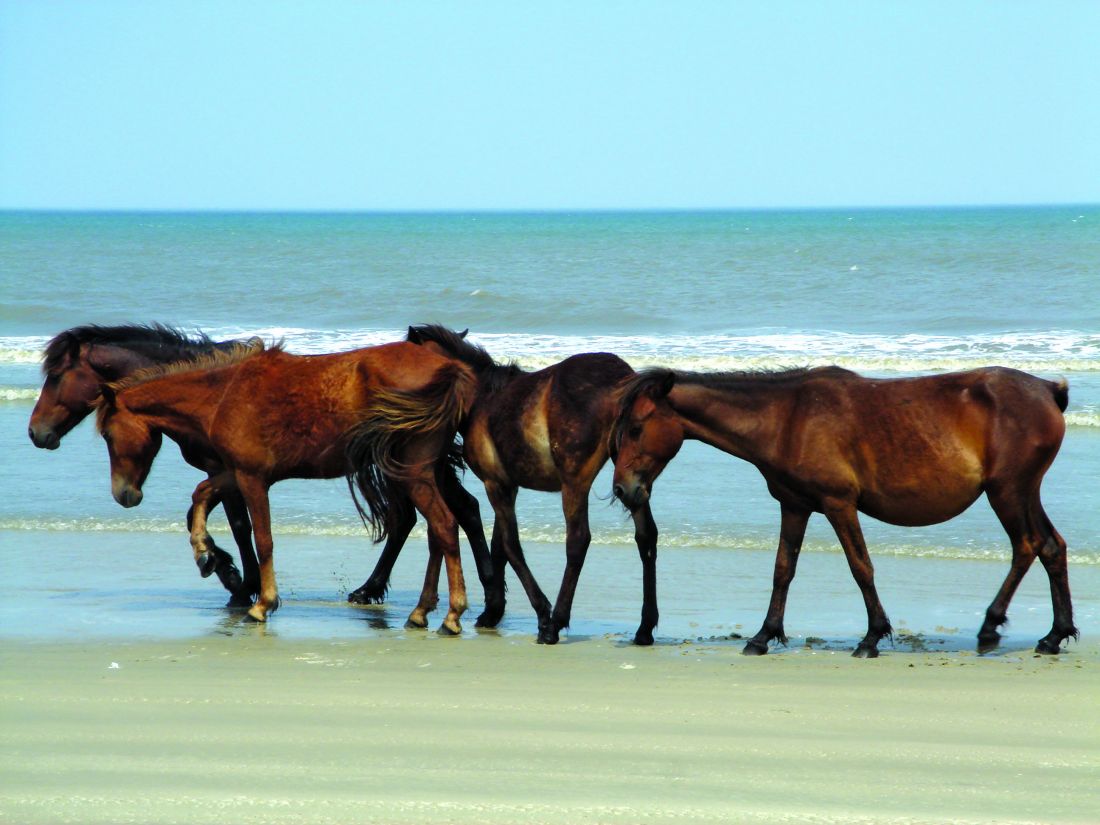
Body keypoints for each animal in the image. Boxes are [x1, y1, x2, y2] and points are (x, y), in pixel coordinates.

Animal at [29, 324, 263, 604]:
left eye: (55, 375)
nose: (34, 431)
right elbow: (198, 518)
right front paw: (224, 568)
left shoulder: (224, 470)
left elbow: (239, 526)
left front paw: (240, 585)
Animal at [94, 340, 482, 632]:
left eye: (108, 434)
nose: (124, 494)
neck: (224, 394)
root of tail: (452, 370)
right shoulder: (235, 473)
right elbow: (201, 494)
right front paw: (204, 552)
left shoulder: (252, 478)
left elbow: (263, 540)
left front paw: (262, 604)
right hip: (425, 474)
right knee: (437, 534)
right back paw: (422, 611)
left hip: (412, 474)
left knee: (445, 527)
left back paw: (452, 614)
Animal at [354, 324, 659, 645]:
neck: (481, 397)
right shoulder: (506, 483)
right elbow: (500, 544)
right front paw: (493, 610)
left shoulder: (496, 483)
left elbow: (510, 545)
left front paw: (534, 612)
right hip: (631, 475)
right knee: (646, 537)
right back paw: (644, 628)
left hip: (576, 483)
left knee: (578, 541)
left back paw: (554, 624)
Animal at [611, 365, 1076, 657]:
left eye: (636, 428)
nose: (622, 490)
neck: (787, 417)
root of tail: (1047, 391)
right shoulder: (795, 506)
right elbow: (783, 570)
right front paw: (763, 636)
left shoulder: (839, 504)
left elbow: (860, 567)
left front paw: (871, 637)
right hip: (1023, 492)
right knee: (1051, 548)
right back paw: (1054, 635)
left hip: (1008, 492)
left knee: (1028, 545)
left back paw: (993, 626)